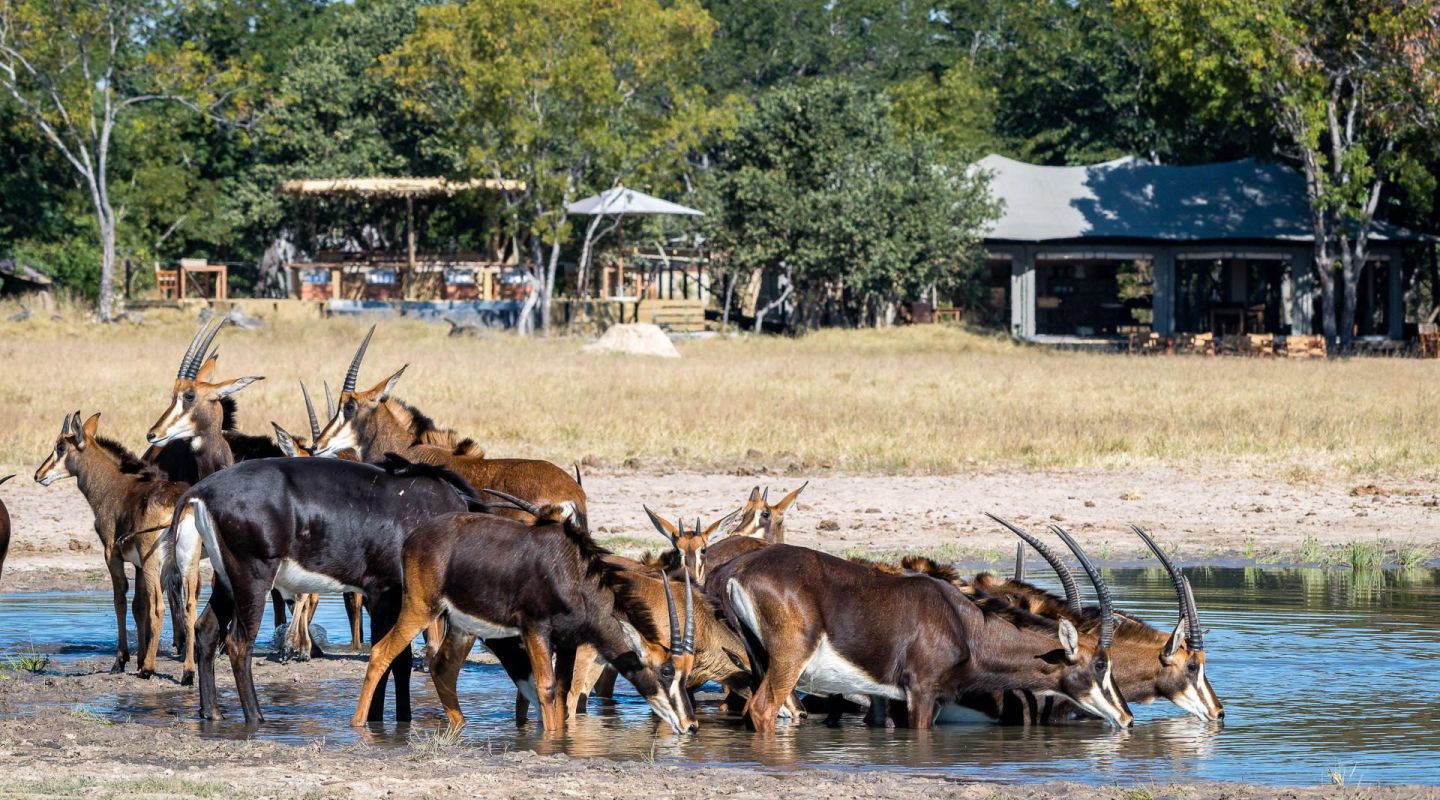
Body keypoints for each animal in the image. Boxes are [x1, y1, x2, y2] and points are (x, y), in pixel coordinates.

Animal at [35, 411, 187, 682]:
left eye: (60, 447)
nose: (38, 475)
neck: (113, 486)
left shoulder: (111, 553)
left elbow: (121, 600)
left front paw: (122, 660)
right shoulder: (137, 564)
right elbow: (138, 606)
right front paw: (138, 657)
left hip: (154, 562)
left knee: (158, 606)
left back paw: (149, 669)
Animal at [167, 451, 472, 722]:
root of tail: (202, 490)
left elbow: (397, 658)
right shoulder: (385, 592)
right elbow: (392, 657)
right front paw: (382, 721)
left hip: (226, 579)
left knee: (207, 630)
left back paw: (212, 712)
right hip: (252, 573)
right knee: (238, 643)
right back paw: (256, 716)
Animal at [348, 489, 696, 733]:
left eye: (685, 672)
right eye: (666, 671)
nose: (691, 726)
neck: (573, 574)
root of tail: (414, 537)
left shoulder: (568, 641)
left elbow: (563, 690)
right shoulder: (535, 629)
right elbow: (546, 687)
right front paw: (551, 739)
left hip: (462, 626)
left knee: (443, 667)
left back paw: (460, 725)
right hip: (421, 607)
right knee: (381, 653)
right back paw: (358, 725)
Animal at [714, 541, 1128, 733]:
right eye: (1100, 664)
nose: (1127, 719)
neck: (963, 624)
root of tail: (736, 569)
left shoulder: (896, 697)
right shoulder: (922, 692)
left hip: (759, 659)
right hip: (790, 659)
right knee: (763, 708)